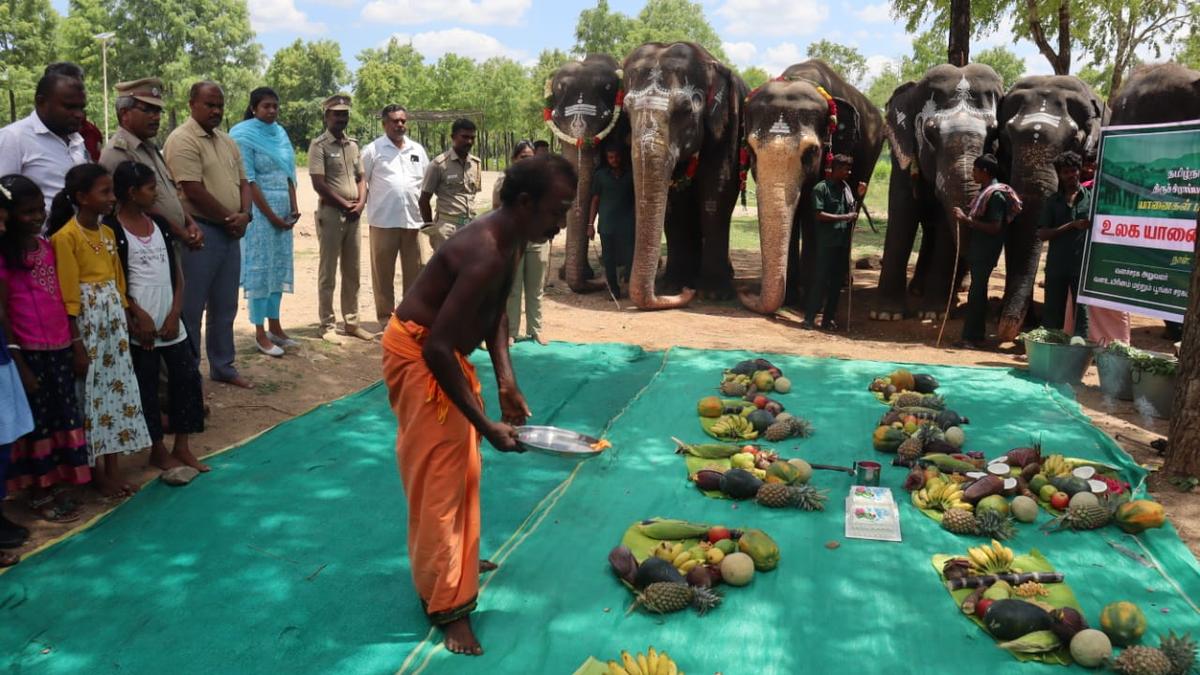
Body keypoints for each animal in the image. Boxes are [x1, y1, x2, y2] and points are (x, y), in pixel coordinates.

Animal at [624, 39, 744, 307]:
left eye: (685, 110)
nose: (686, 294)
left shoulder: (726, 124)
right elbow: (675, 204)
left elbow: (717, 190)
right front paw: (674, 286)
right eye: (626, 109)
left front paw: (714, 294)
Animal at [734, 59, 888, 312]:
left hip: (871, 155)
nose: (745, 291)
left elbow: (811, 214)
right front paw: (791, 299)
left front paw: (807, 302)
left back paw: (843, 282)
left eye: (812, 152)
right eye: (749, 150)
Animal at [873, 63, 1003, 319]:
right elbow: (902, 211)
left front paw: (934, 314)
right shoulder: (903, 155)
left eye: (994, 132)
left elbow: (946, 223)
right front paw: (886, 315)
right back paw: (918, 290)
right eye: (930, 133)